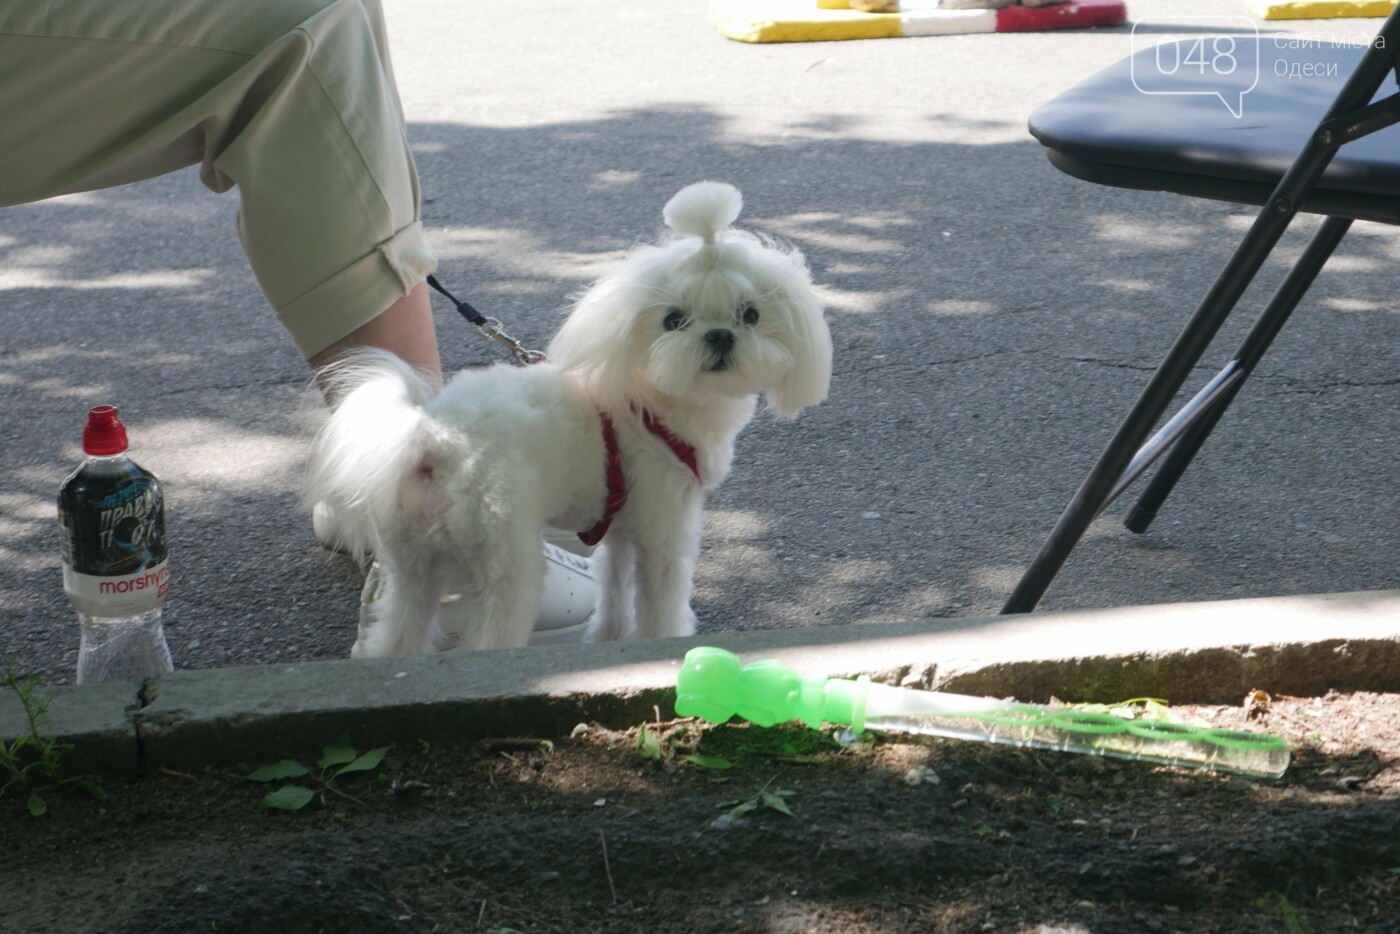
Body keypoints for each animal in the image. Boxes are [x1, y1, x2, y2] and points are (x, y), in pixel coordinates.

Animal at [306, 180, 828, 658]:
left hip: (412, 563)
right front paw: (666, 645)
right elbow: (662, 602)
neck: (652, 400)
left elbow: (615, 586)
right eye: (673, 320)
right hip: (504, 555)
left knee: (397, 635)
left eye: (751, 314)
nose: (720, 335)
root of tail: (432, 436)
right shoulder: (663, 523)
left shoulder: (620, 526)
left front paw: (609, 640)